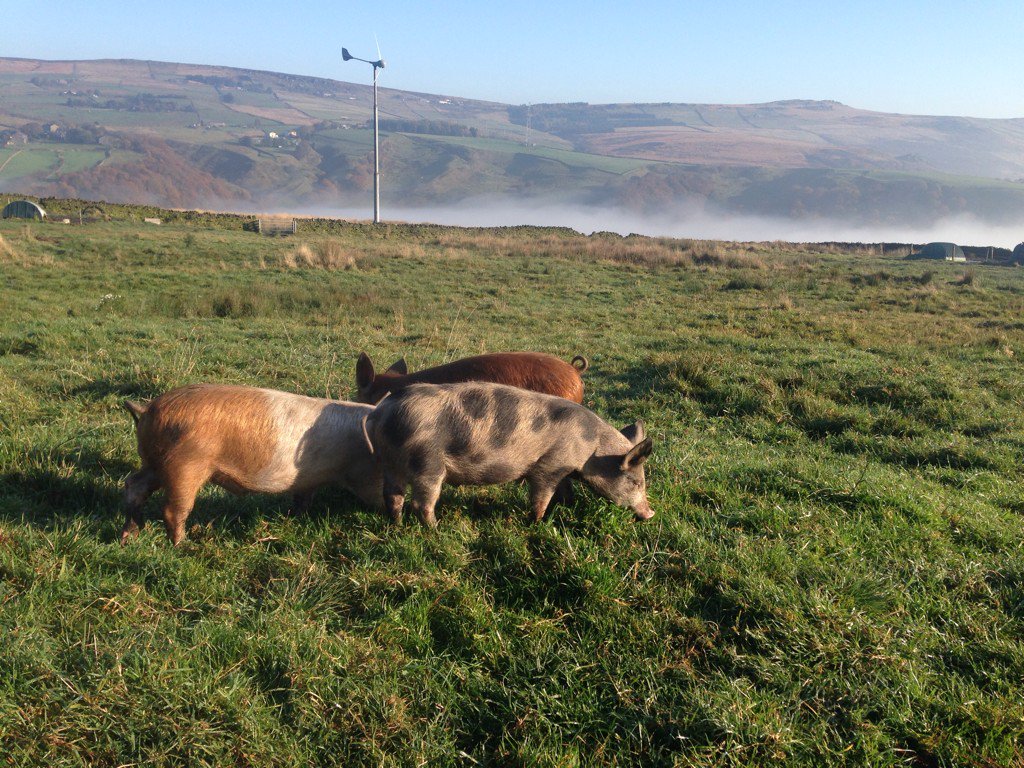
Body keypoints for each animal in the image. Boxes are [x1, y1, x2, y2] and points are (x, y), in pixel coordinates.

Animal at [120, 383, 382, 545]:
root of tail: (150, 408)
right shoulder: (364, 478)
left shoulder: (309, 479)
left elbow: (303, 499)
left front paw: (294, 517)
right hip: (186, 465)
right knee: (173, 509)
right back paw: (181, 545)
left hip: (155, 463)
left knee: (134, 485)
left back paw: (129, 536)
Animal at [363, 382, 654, 527]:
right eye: (636, 482)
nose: (650, 513)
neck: (590, 450)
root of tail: (380, 411)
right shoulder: (548, 466)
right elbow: (541, 496)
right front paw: (537, 523)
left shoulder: (562, 467)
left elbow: (565, 490)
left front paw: (567, 507)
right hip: (427, 462)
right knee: (421, 503)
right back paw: (436, 530)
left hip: (390, 462)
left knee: (393, 496)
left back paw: (397, 525)